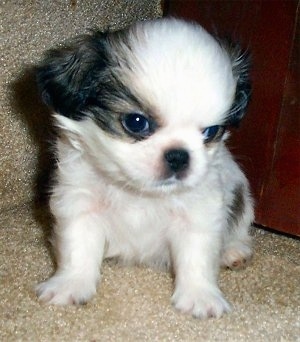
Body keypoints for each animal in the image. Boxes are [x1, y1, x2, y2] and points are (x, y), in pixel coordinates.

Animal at [36, 18, 254, 318]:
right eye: (136, 122)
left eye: (210, 132)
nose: (179, 156)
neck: (139, 193)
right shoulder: (81, 203)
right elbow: (77, 250)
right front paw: (71, 285)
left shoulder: (199, 213)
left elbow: (197, 256)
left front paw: (200, 296)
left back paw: (233, 252)